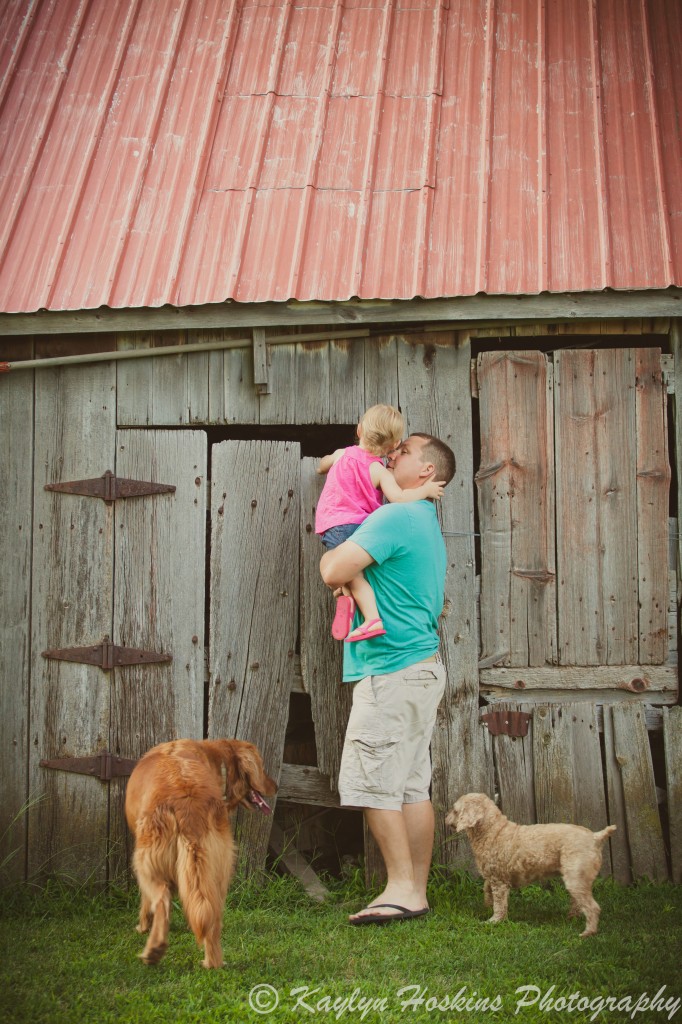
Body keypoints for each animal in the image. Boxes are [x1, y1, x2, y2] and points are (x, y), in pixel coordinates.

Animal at [444, 790, 614, 937]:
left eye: (455, 810)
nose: (445, 818)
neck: (493, 831)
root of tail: (595, 837)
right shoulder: (492, 876)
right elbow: (487, 890)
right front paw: (487, 905)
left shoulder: (499, 880)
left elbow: (499, 904)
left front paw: (493, 921)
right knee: (578, 902)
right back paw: (571, 918)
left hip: (576, 876)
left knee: (592, 907)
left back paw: (587, 933)